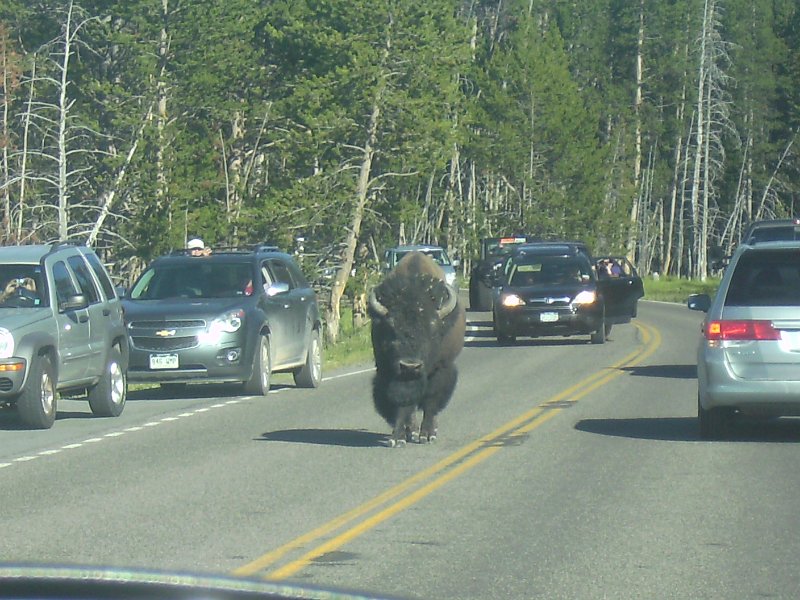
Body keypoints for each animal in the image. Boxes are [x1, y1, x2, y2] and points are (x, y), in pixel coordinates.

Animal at [370, 252, 468, 446]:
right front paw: (398, 437)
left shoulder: (441, 369)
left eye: (433, 328)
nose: (410, 366)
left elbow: (431, 401)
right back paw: (411, 431)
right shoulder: (387, 371)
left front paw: (427, 435)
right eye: (391, 326)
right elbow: (402, 403)